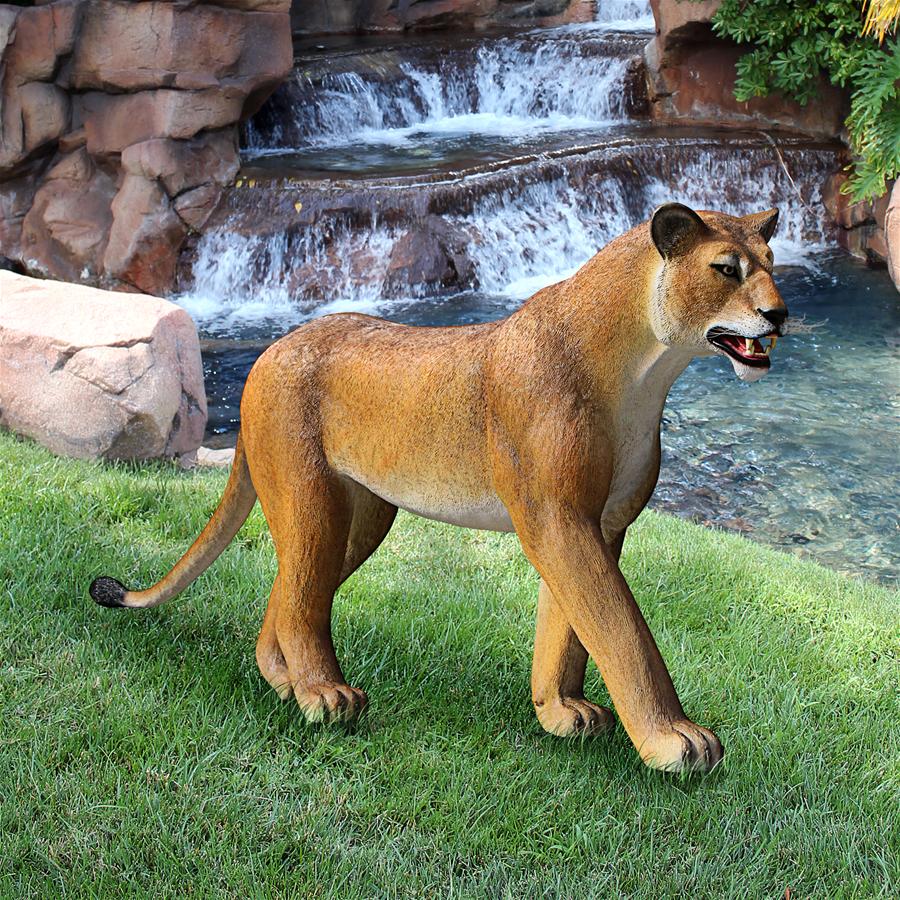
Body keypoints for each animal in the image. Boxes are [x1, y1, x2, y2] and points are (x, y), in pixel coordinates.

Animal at [91, 203, 787, 773]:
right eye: (727, 269)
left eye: (772, 264)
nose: (778, 314)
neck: (644, 371)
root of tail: (270, 350)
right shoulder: (556, 517)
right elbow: (621, 629)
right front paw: (674, 739)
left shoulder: (600, 522)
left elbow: (569, 627)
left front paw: (561, 712)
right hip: (311, 496)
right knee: (301, 595)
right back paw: (323, 694)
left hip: (364, 514)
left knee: (291, 591)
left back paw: (285, 682)